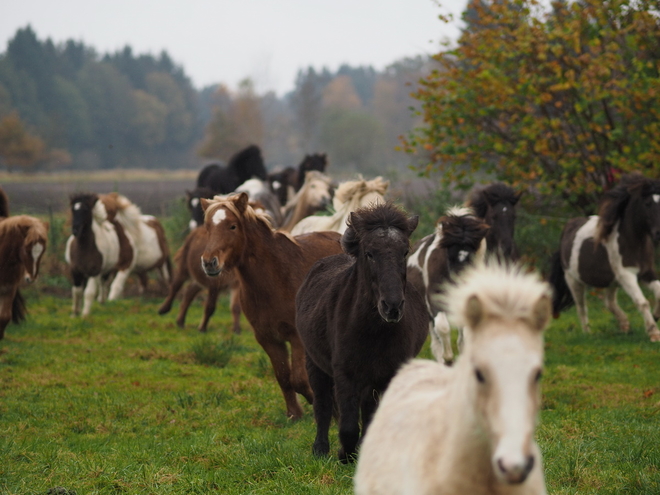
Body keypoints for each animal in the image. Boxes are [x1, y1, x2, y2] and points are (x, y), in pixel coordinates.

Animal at [199, 193, 342, 418]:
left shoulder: (297, 338)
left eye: (232, 226)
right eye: (207, 227)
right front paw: (294, 413)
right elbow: (283, 377)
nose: (209, 262)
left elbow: (299, 380)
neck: (276, 278)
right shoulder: (268, 339)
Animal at [296, 202, 428, 464]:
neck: (374, 332)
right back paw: (320, 449)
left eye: (405, 252)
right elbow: (347, 425)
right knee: (323, 405)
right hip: (314, 364)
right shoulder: (345, 374)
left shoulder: (386, 375)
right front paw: (345, 455)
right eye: (369, 253)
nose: (392, 306)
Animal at [408, 205, 490, 364]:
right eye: (449, 255)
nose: (460, 285)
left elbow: (466, 337)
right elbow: (443, 327)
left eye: (471, 257)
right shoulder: (434, 300)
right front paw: (448, 358)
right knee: (435, 342)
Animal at [548, 173, 660, 340]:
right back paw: (588, 333)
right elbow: (642, 302)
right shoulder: (626, 275)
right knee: (582, 307)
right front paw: (654, 333)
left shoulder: (646, 273)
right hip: (573, 280)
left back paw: (624, 325)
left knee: (609, 302)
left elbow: (658, 292)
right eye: (647, 203)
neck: (632, 241)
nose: (659, 233)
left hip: (612, 281)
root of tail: (567, 229)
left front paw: (656, 315)